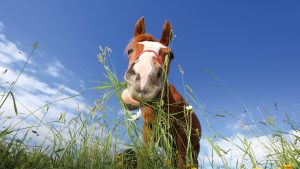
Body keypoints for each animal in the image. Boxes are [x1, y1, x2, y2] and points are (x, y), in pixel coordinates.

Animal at [120, 16, 202, 168]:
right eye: (130, 50)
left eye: (171, 55)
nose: (144, 81)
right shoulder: (148, 133)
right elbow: (144, 158)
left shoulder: (182, 136)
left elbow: (182, 164)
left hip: (193, 150)